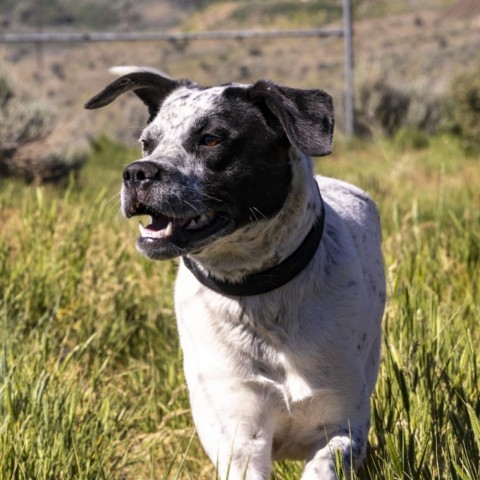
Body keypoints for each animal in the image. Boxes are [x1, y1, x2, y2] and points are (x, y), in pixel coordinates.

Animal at [85, 72, 386, 480]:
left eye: (211, 139)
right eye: (148, 143)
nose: (136, 171)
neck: (260, 294)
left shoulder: (343, 428)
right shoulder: (240, 437)